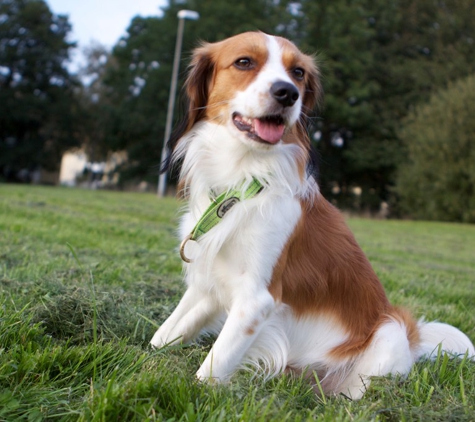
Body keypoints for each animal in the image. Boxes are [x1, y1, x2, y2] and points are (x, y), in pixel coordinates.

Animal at [151, 31, 474, 398]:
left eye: (298, 73)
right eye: (244, 62)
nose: (287, 93)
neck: (243, 181)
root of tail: (413, 342)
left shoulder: (256, 299)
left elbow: (210, 370)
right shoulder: (210, 282)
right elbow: (163, 336)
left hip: (389, 330)